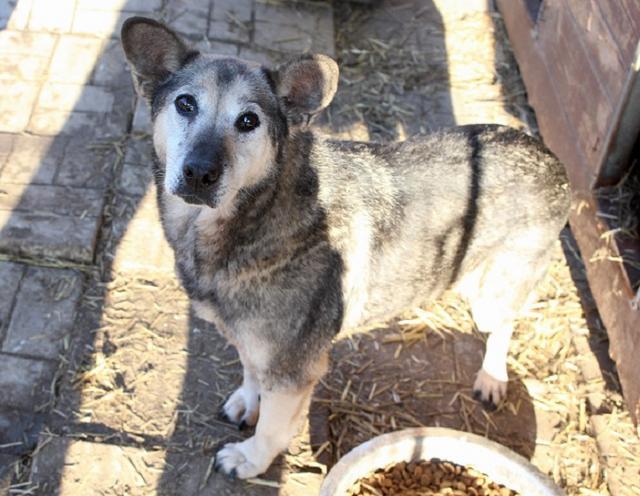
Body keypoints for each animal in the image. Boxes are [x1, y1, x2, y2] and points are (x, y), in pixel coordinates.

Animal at [120, 17, 568, 478]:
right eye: (185, 104)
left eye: (248, 121)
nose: (199, 172)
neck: (258, 214)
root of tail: (546, 152)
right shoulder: (254, 340)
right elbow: (249, 369)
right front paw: (247, 400)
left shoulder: (294, 369)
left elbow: (273, 430)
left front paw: (250, 459)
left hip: (492, 295)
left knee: (505, 324)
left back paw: (492, 378)